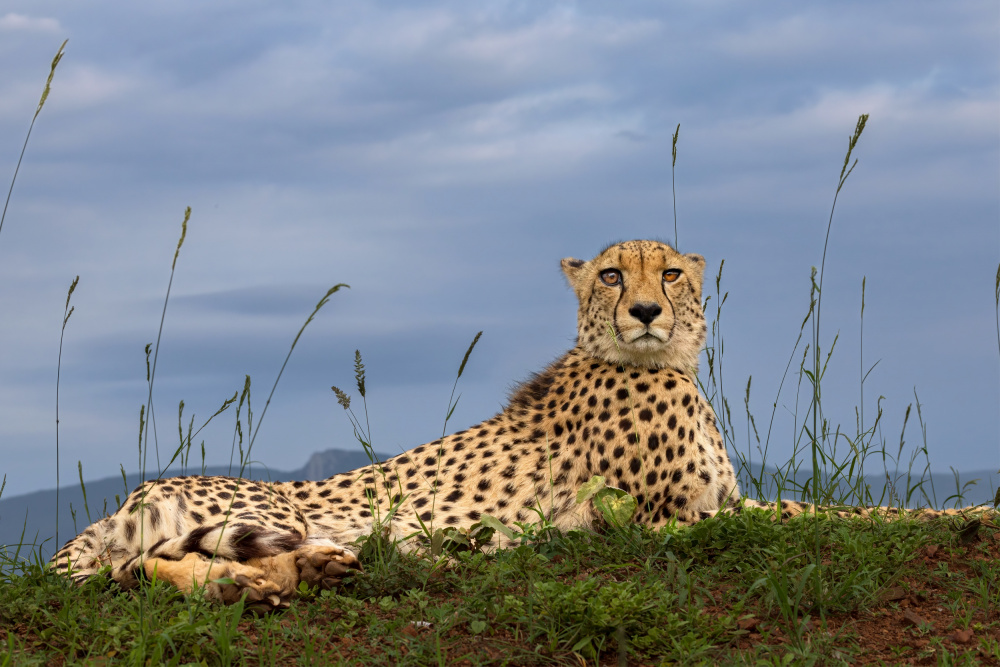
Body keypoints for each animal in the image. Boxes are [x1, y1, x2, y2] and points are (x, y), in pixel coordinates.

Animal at [48, 240, 992, 612]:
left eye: (671, 272)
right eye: (612, 274)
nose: (645, 310)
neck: (662, 363)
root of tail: (131, 493)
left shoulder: (721, 506)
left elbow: (854, 511)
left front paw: (969, 511)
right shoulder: (671, 523)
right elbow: (833, 517)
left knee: (149, 573)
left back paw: (296, 576)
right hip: (281, 508)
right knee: (148, 571)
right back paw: (268, 579)